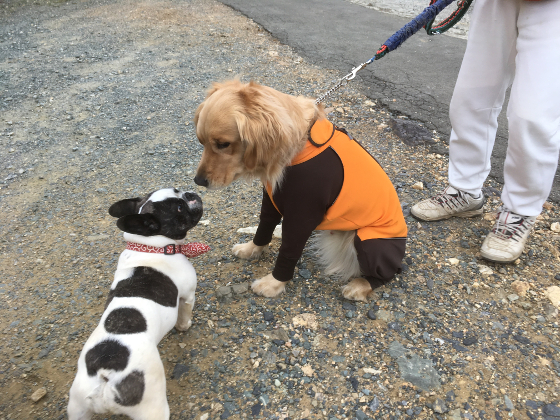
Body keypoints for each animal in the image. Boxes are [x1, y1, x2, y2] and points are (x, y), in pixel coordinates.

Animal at [194, 79, 406, 302]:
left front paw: (274, 283)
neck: (299, 147)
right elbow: (263, 228)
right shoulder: (271, 200)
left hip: (369, 242)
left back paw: (360, 286)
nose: (198, 181)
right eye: (201, 142)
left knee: (392, 271)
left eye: (223, 144)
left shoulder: (301, 216)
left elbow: (288, 252)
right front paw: (252, 249)